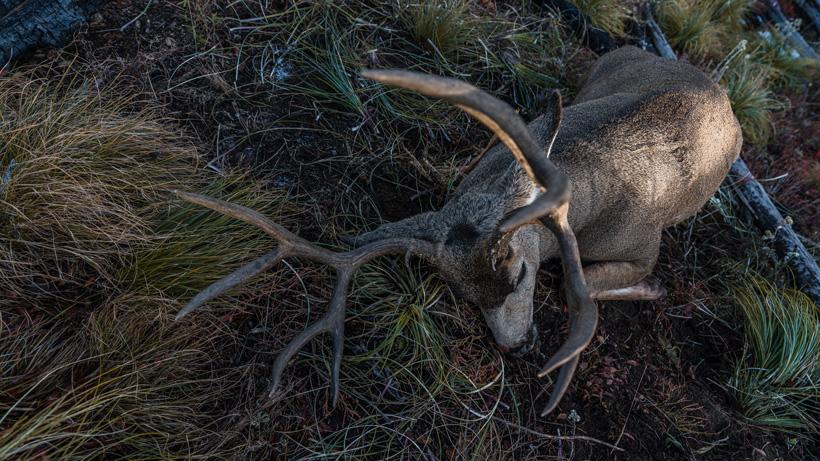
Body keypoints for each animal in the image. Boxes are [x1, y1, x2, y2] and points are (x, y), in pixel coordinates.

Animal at [174, 46, 742, 416]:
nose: (518, 347)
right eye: (466, 297)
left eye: (519, 275)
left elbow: (584, 280)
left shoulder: (646, 244)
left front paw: (653, 287)